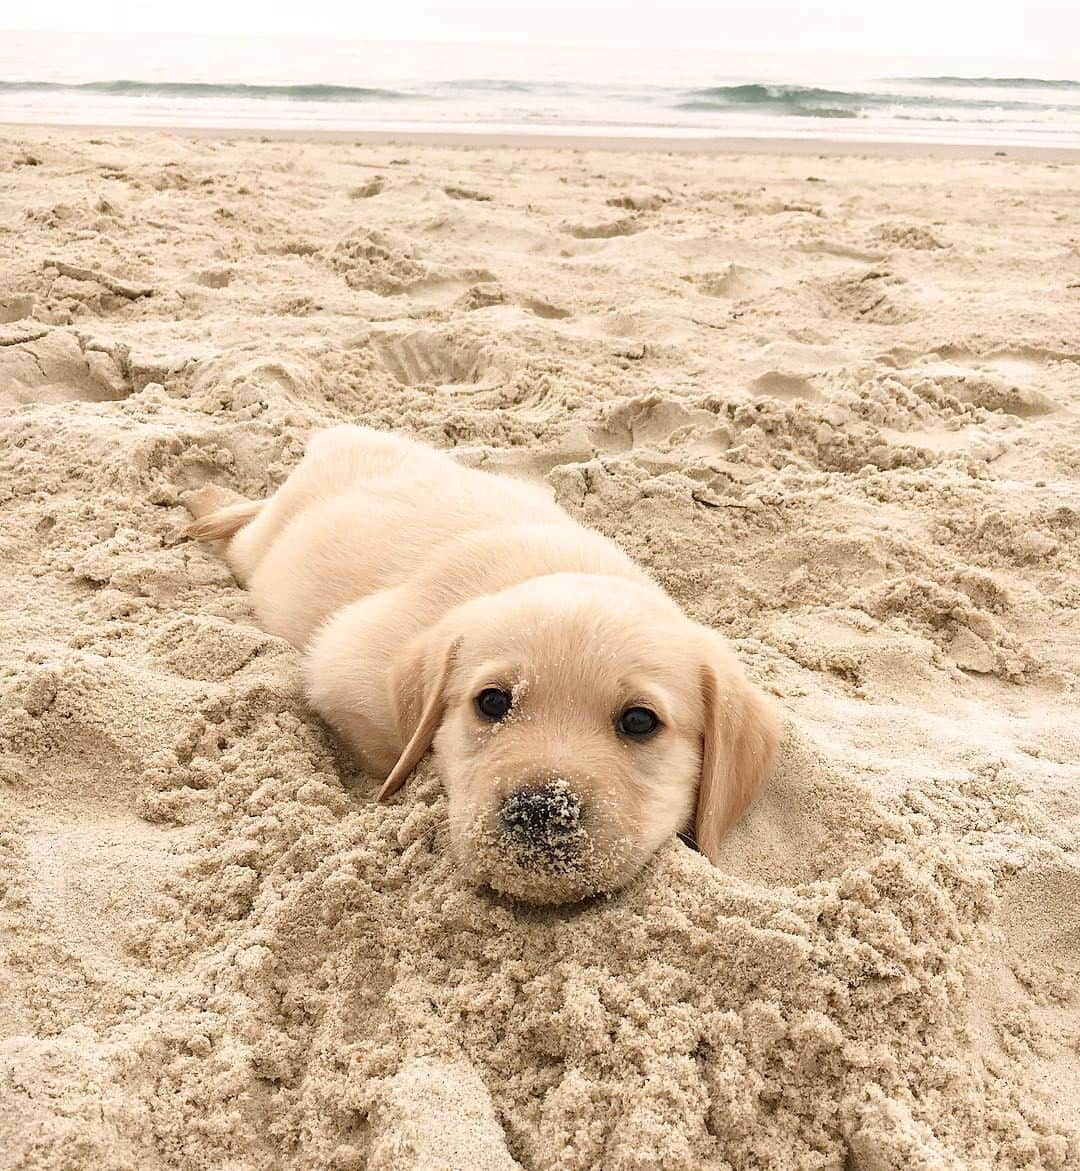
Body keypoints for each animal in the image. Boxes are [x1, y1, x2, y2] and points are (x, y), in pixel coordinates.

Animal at [185, 426, 773, 899]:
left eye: (639, 720)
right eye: (492, 702)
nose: (541, 809)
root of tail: (338, 437)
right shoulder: (341, 664)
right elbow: (387, 754)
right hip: (261, 551)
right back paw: (205, 503)